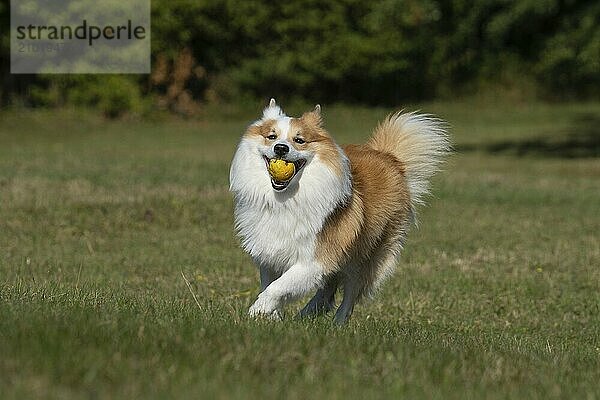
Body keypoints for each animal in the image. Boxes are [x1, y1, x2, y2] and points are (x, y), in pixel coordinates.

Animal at [230, 100, 450, 324]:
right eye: (271, 136)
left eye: (299, 140)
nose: (281, 148)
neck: (286, 199)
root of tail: (389, 157)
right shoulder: (269, 254)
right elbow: (270, 284)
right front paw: (272, 317)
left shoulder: (315, 258)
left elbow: (278, 287)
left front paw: (256, 311)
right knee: (328, 288)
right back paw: (308, 314)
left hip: (364, 258)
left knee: (349, 295)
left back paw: (337, 324)